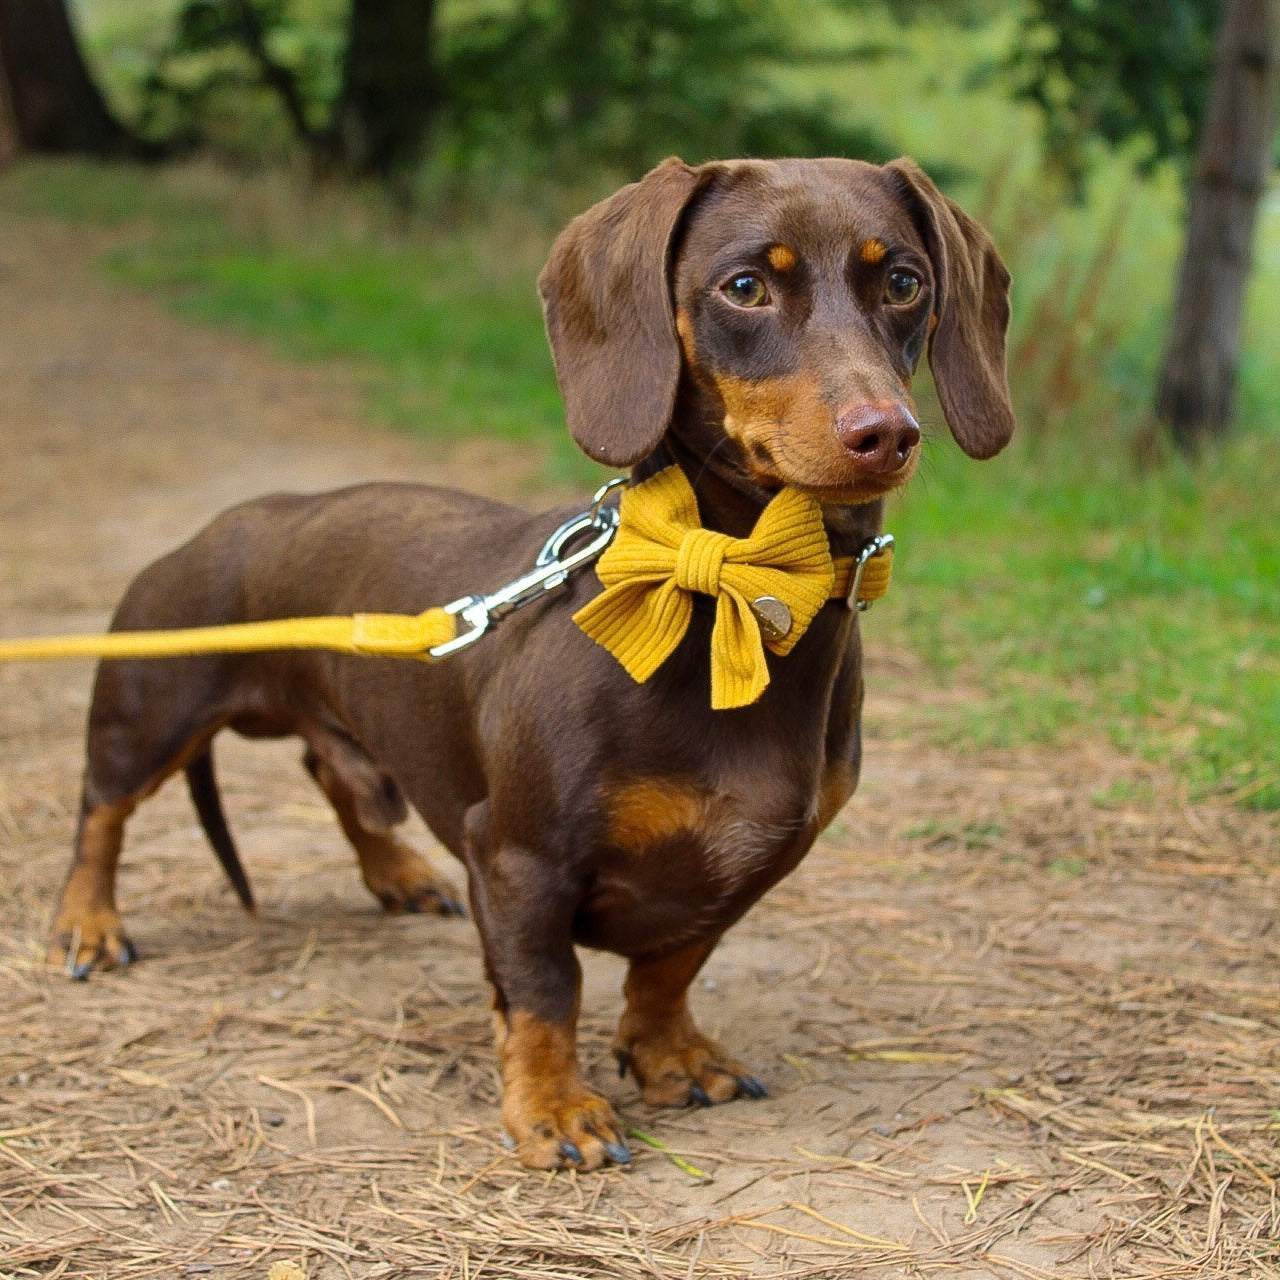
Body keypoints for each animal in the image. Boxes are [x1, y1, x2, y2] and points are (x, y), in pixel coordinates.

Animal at [47, 157, 1008, 1172]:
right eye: (745, 286)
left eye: (902, 281)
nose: (886, 433)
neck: (734, 599)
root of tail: (220, 525)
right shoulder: (517, 860)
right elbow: (546, 991)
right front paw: (553, 1109)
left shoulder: (743, 870)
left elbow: (670, 970)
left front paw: (669, 1056)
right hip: (151, 706)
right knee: (101, 811)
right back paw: (89, 923)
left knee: (333, 774)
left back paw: (395, 872)